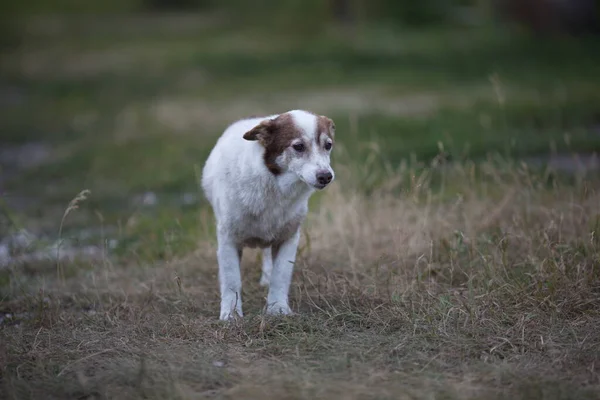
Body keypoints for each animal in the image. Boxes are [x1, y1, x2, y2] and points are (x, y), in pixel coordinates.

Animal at [200, 110, 332, 322]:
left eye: (328, 145)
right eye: (298, 147)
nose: (326, 176)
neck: (274, 187)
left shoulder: (288, 237)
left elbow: (280, 276)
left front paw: (277, 309)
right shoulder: (228, 239)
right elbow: (231, 280)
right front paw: (231, 315)